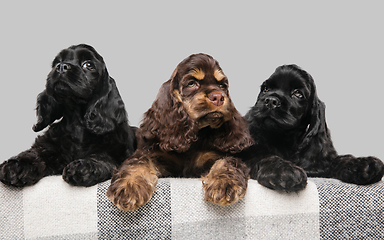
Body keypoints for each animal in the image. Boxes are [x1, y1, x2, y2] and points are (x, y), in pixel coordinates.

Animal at [0, 44, 137, 188]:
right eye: (57, 63)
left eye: (88, 64)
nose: (61, 66)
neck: (77, 123)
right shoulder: (48, 147)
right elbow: (35, 152)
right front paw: (16, 166)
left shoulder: (117, 153)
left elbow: (103, 158)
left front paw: (84, 167)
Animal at [106, 52, 254, 210]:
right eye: (192, 84)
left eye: (222, 85)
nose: (219, 97)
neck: (195, 136)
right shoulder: (156, 155)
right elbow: (138, 161)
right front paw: (129, 186)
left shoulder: (215, 156)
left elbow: (228, 161)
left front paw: (224, 184)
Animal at [240, 64, 384, 192]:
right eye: (266, 89)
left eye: (298, 93)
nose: (270, 101)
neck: (283, 138)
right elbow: (262, 157)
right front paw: (283, 170)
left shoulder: (319, 161)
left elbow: (337, 160)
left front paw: (363, 164)